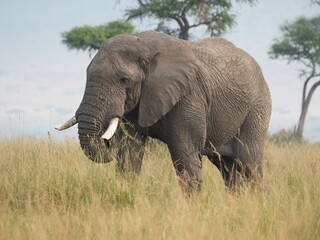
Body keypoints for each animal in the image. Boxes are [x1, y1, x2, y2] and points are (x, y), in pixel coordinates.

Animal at [56, 30, 272, 193]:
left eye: (124, 80)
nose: (106, 140)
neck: (143, 44)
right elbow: (129, 152)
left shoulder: (189, 97)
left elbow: (184, 154)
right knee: (228, 168)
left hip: (258, 107)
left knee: (249, 163)